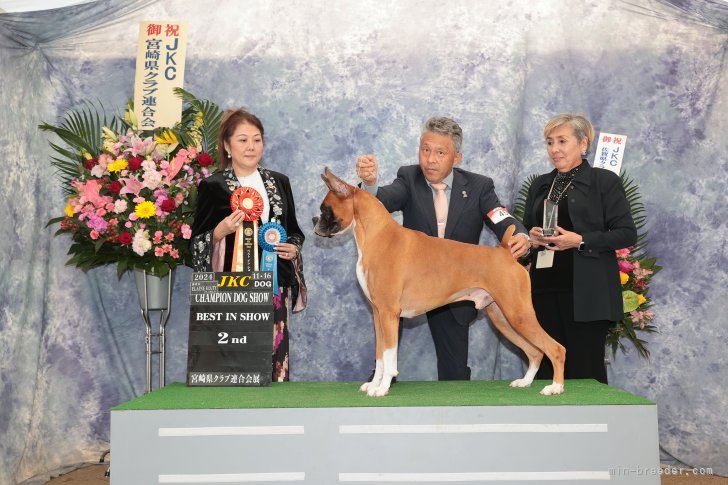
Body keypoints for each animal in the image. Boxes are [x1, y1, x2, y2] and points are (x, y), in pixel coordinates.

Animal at [310, 168, 564, 396]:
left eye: (325, 208)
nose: (313, 219)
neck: (377, 235)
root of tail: (505, 252)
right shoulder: (377, 314)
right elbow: (380, 354)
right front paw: (373, 385)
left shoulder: (389, 313)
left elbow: (389, 356)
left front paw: (381, 388)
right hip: (502, 318)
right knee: (535, 352)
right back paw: (525, 382)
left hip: (518, 314)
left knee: (555, 348)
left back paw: (555, 387)